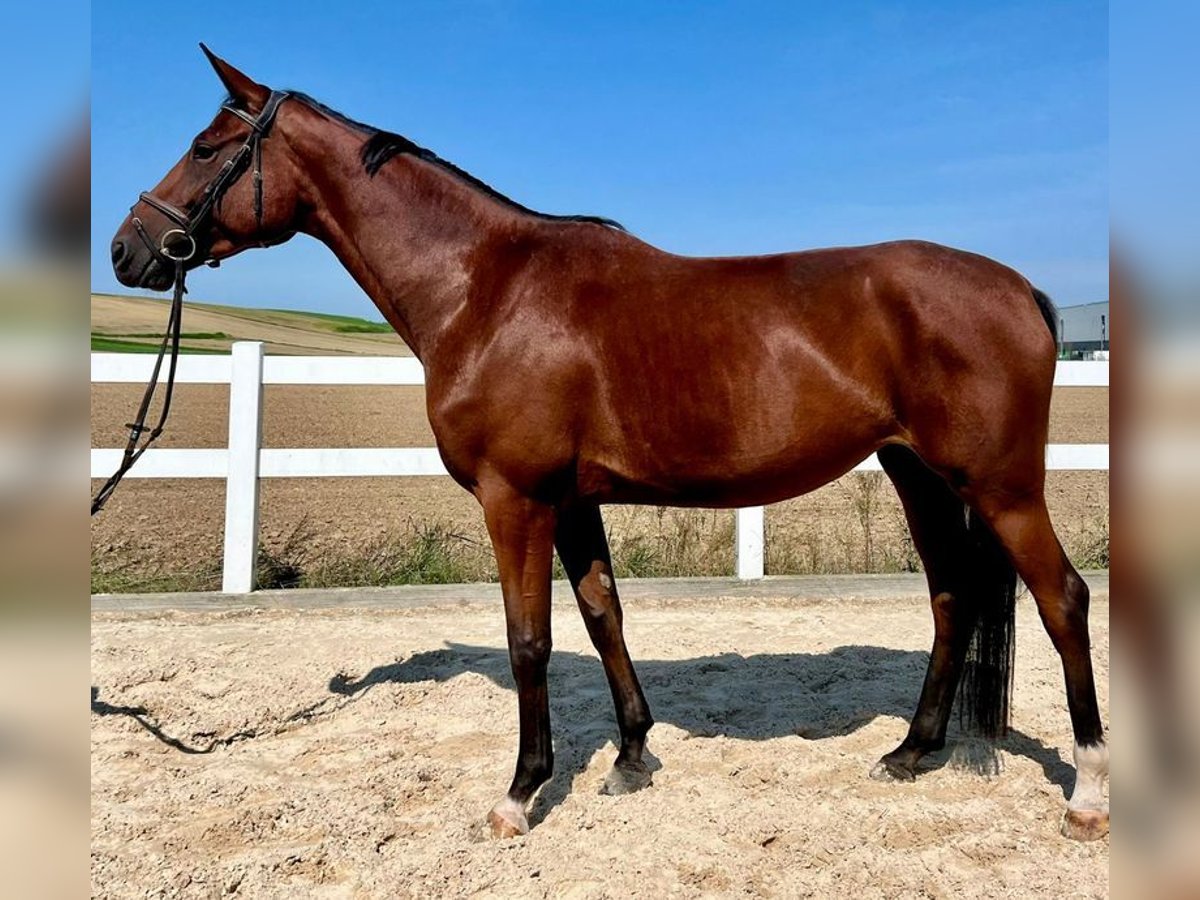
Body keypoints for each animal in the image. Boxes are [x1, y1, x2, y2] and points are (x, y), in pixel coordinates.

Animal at [108, 45, 1108, 844]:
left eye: (206, 147)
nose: (128, 249)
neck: (486, 289)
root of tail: (1019, 289)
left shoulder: (516, 498)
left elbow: (530, 640)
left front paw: (521, 793)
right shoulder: (574, 498)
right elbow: (602, 616)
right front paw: (632, 753)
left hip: (1001, 486)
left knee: (1062, 599)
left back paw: (1088, 793)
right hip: (920, 474)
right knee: (951, 598)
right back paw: (911, 750)